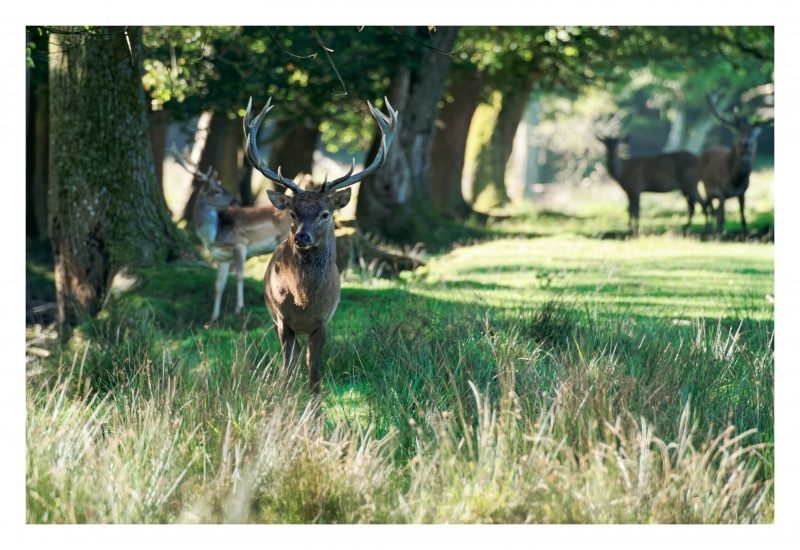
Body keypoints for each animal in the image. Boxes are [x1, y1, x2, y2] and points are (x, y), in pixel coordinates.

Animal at [170, 147, 292, 328]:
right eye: (217, 191)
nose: (237, 200)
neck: (215, 234)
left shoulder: (240, 244)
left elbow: (239, 275)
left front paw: (238, 309)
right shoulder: (222, 257)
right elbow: (218, 285)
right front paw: (213, 318)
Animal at [242, 96, 396, 396]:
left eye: (325, 214)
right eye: (293, 213)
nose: (302, 237)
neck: (304, 302)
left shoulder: (323, 321)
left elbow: (314, 373)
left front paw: (314, 404)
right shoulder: (283, 320)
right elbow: (287, 369)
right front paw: (285, 397)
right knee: (290, 359)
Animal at [704, 92, 772, 239]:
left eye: (753, 134)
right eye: (738, 133)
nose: (745, 143)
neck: (735, 180)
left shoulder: (743, 192)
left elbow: (743, 217)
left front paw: (746, 236)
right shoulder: (721, 191)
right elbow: (722, 217)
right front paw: (719, 237)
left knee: (713, 209)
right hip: (707, 188)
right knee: (709, 208)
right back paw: (710, 232)